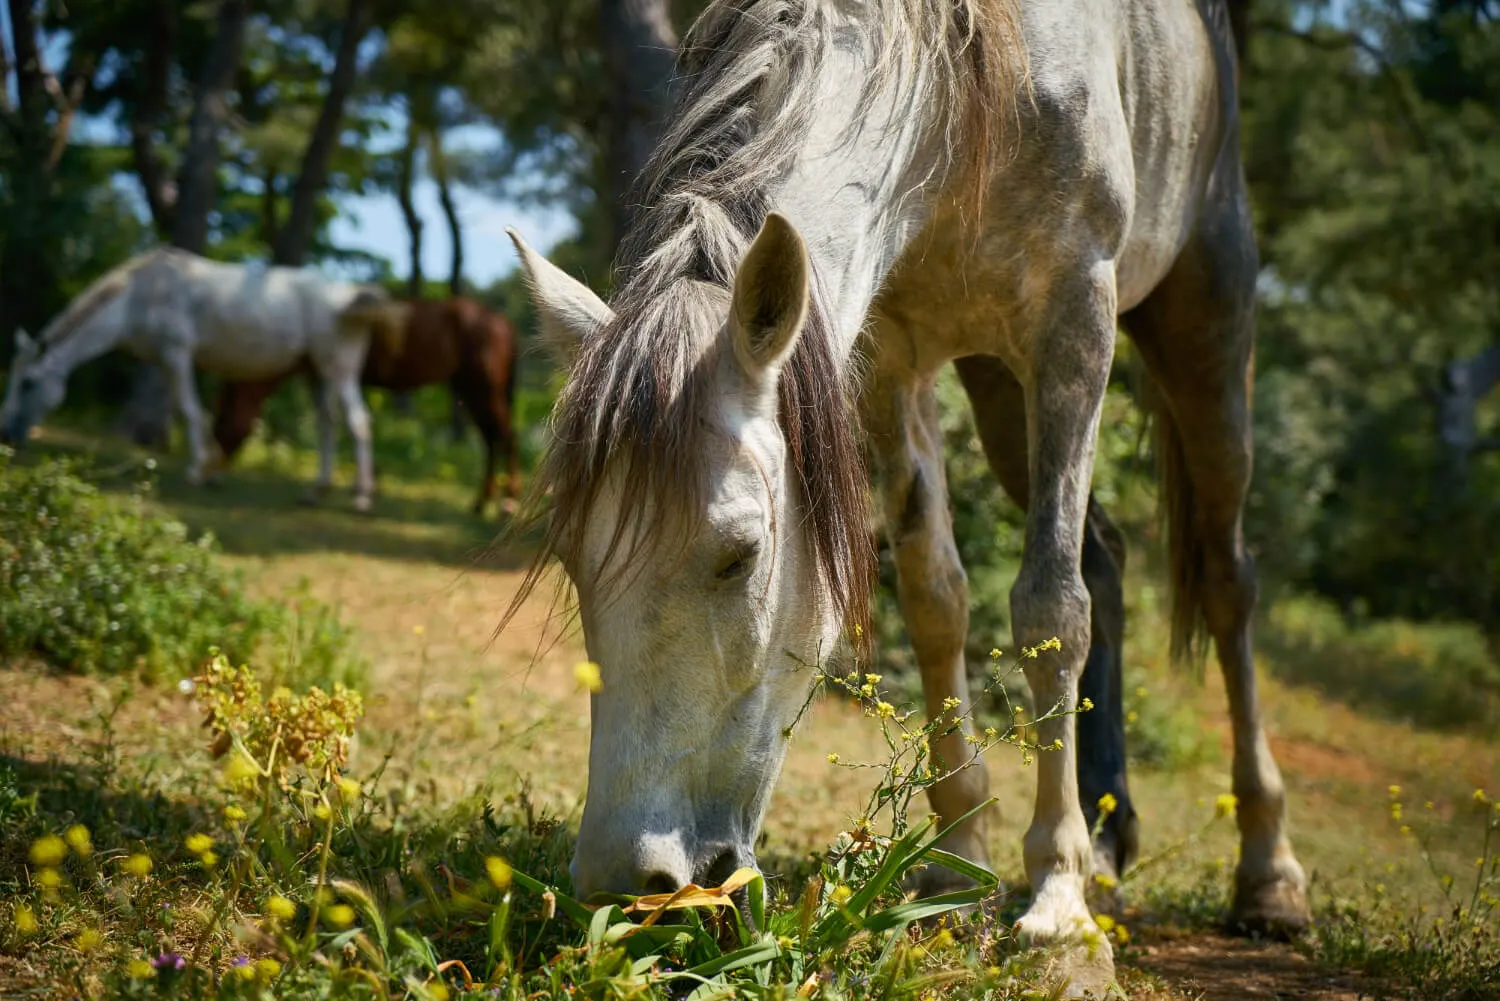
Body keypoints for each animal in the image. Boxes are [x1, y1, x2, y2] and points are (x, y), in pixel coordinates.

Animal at [0, 248, 386, 511]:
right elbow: (191, 411)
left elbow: (189, 410)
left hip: (338, 369)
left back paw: (362, 498)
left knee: (358, 422)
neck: (137, 297)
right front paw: (212, 468)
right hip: (314, 372)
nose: (6, 435)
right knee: (327, 424)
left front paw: (196, 472)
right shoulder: (164, 361)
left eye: (28, 383)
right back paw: (316, 491)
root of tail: (346, 296)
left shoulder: (177, 353)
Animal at [210, 297, 522, 515]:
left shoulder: (333, 375)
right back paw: (480, 503)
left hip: (484, 387)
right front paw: (334, 489)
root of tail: (501, 319)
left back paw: (508, 503)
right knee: (490, 439)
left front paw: (355, 493)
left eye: (220, 422)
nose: (213, 475)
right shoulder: (320, 378)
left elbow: (340, 423)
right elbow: (328, 423)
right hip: (470, 389)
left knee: (506, 436)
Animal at [506, 0, 1307, 992]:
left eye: (741, 556)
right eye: (574, 560)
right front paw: (957, 859)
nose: (629, 881)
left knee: (1227, 585)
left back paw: (1267, 872)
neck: (963, 90)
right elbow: (936, 598)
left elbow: (1050, 607)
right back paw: (1110, 833)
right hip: (1002, 394)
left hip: (1206, 327)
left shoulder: (1074, 320)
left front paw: (1058, 906)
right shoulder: (888, 354)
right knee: (1108, 558)